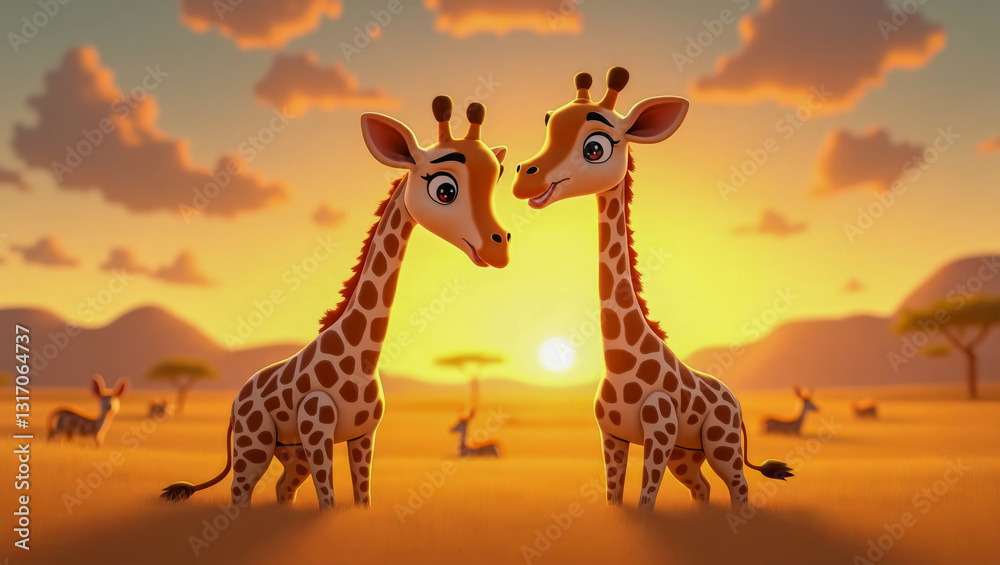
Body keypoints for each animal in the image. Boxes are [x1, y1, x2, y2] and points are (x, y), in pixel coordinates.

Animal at [162, 96, 510, 509]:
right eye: (445, 189)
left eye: (496, 179)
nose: (498, 248)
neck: (364, 357)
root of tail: (235, 402)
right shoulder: (317, 432)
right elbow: (327, 499)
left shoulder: (364, 435)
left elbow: (362, 497)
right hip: (254, 445)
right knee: (240, 493)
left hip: (290, 454)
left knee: (283, 490)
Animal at [512, 67, 792, 509]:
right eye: (547, 122)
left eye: (595, 147)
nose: (525, 177)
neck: (617, 362)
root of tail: (736, 401)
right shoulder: (612, 436)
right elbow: (615, 498)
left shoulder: (658, 437)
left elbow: (646, 501)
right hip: (687, 455)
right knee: (703, 488)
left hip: (720, 444)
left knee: (740, 487)